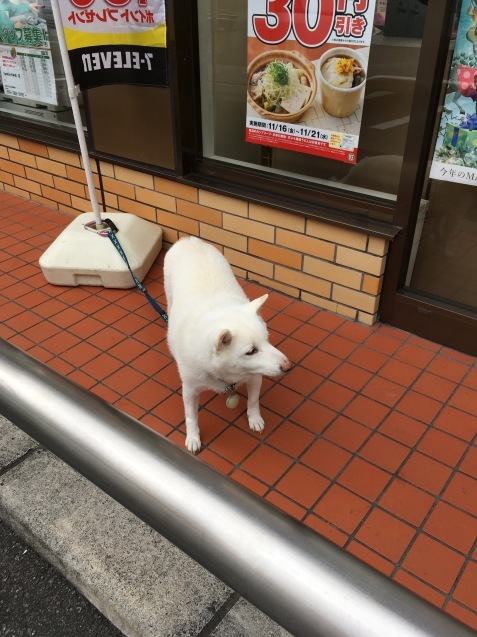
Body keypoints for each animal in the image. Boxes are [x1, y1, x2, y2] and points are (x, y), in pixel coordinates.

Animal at [164, 235, 290, 452]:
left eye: (267, 339)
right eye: (251, 351)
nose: (287, 366)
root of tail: (189, 240)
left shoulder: (255, 376)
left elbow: (254, 400)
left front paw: (254, 419)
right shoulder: (190, 389)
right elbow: (191, 416)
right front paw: (193, 437)